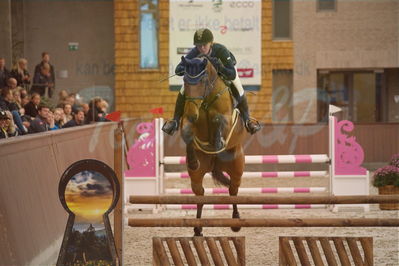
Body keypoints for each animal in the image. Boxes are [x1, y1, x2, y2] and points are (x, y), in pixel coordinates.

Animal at [179, 55, 247, 235]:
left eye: (202, 80)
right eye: (185, 81)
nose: (192, 112)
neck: (206, 100)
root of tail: (214, 165)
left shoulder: (226, 119)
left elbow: (218, 120)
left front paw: (218, 142)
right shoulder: (187, 120)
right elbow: (187, 133)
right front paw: (192, 161)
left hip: (237, 168)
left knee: (233, 191)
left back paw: (236, 222)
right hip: (197, 177)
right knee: (200, 195)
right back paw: (197, 228)